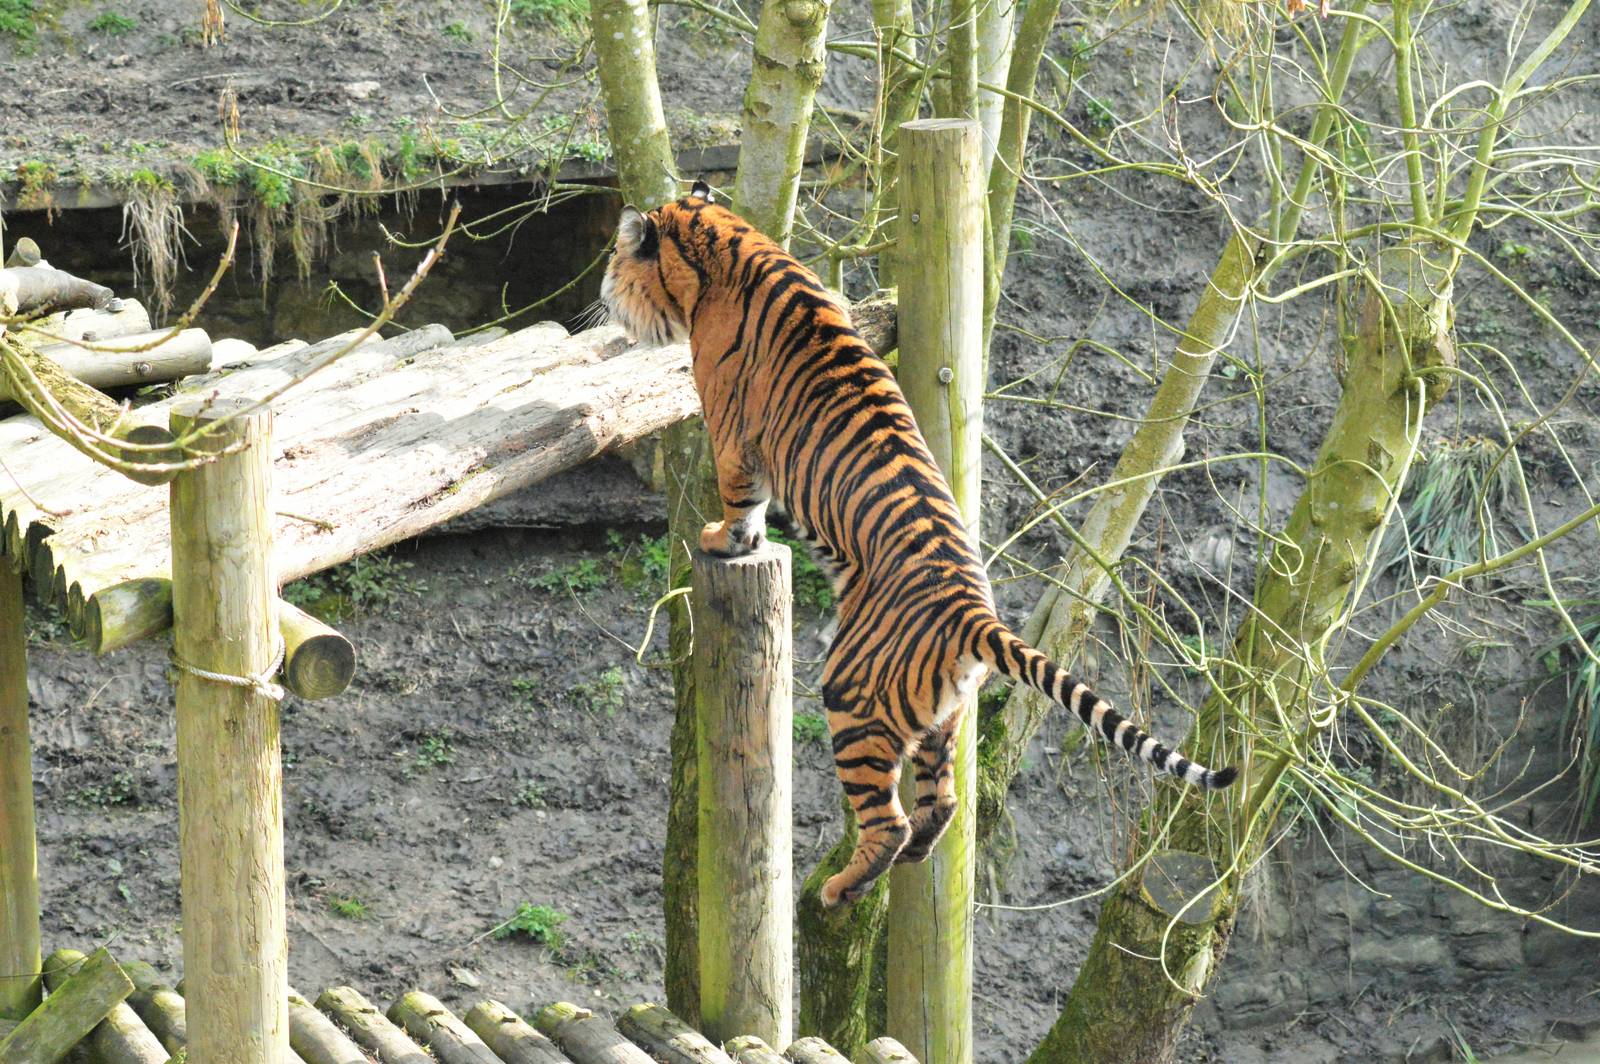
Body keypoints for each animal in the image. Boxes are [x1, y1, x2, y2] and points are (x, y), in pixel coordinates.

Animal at [601, 180, 1238, 907]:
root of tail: (975, 615)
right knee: (945, 804)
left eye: (617, 256)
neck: (722, 245)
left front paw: (723, 539)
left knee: (891, 821)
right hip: (946, 717)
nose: (603, 296)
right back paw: (909, 861)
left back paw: (841, 888)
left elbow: (742, 506)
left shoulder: (733, 432)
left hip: (853, 697)